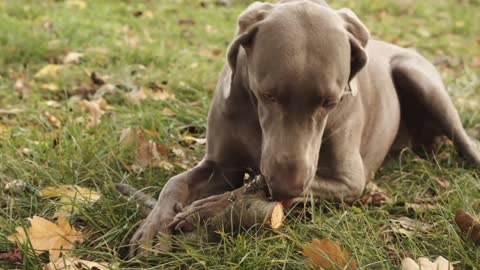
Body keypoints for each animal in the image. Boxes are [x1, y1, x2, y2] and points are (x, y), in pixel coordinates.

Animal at [127, 0, 480, 258]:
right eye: (267, 94)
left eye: (330, 101)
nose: (285, 187)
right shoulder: (221, 164)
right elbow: (175, 182)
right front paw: (153, 228)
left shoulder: (349, 182)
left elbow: (259, 186)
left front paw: (207, 209)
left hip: (417, 76)